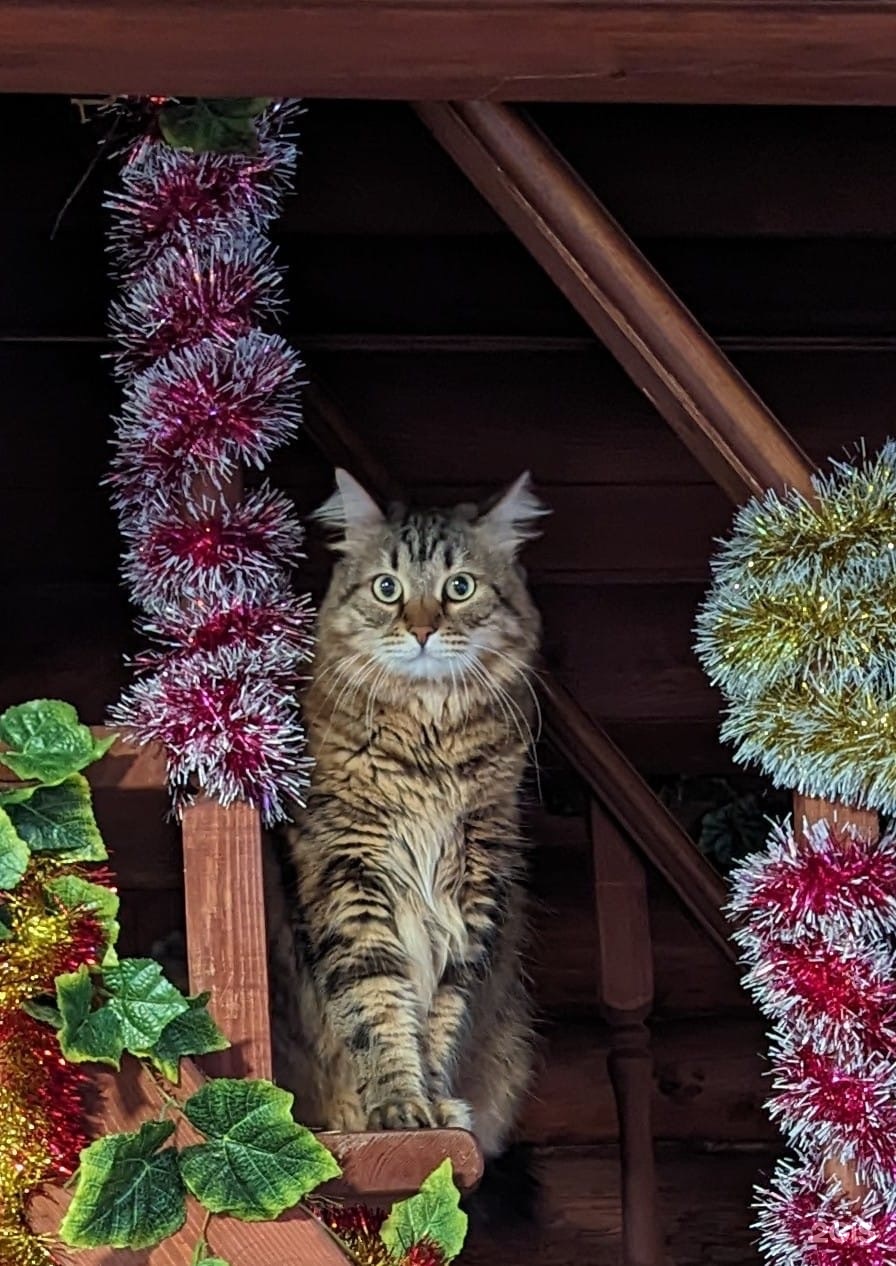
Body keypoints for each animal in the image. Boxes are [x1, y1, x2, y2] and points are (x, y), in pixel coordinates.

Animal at [264, 465, 546, 1159]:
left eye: (459, 587)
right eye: (387, 588)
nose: (420, 629)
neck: (427, 747)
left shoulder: (474, 896)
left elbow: (441, 1016)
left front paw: (437, 1108)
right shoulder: (350, 878)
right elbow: (378, 1005)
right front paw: (395, 1107)